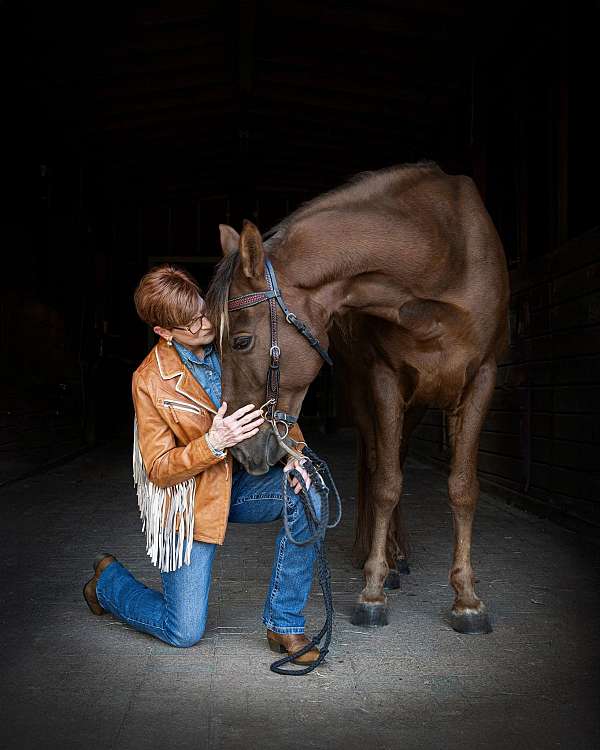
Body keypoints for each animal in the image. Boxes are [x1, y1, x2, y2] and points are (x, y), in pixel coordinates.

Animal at [205, 163, 506, 636]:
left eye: (240, 341)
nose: (242, 451)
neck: (439, 253)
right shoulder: (385, 379)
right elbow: (385, 483)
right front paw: (373, 590)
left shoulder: (482, 379)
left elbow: (462, 488)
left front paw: (467, 600)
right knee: (376, 463)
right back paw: (379, 557)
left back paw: (399, 555)